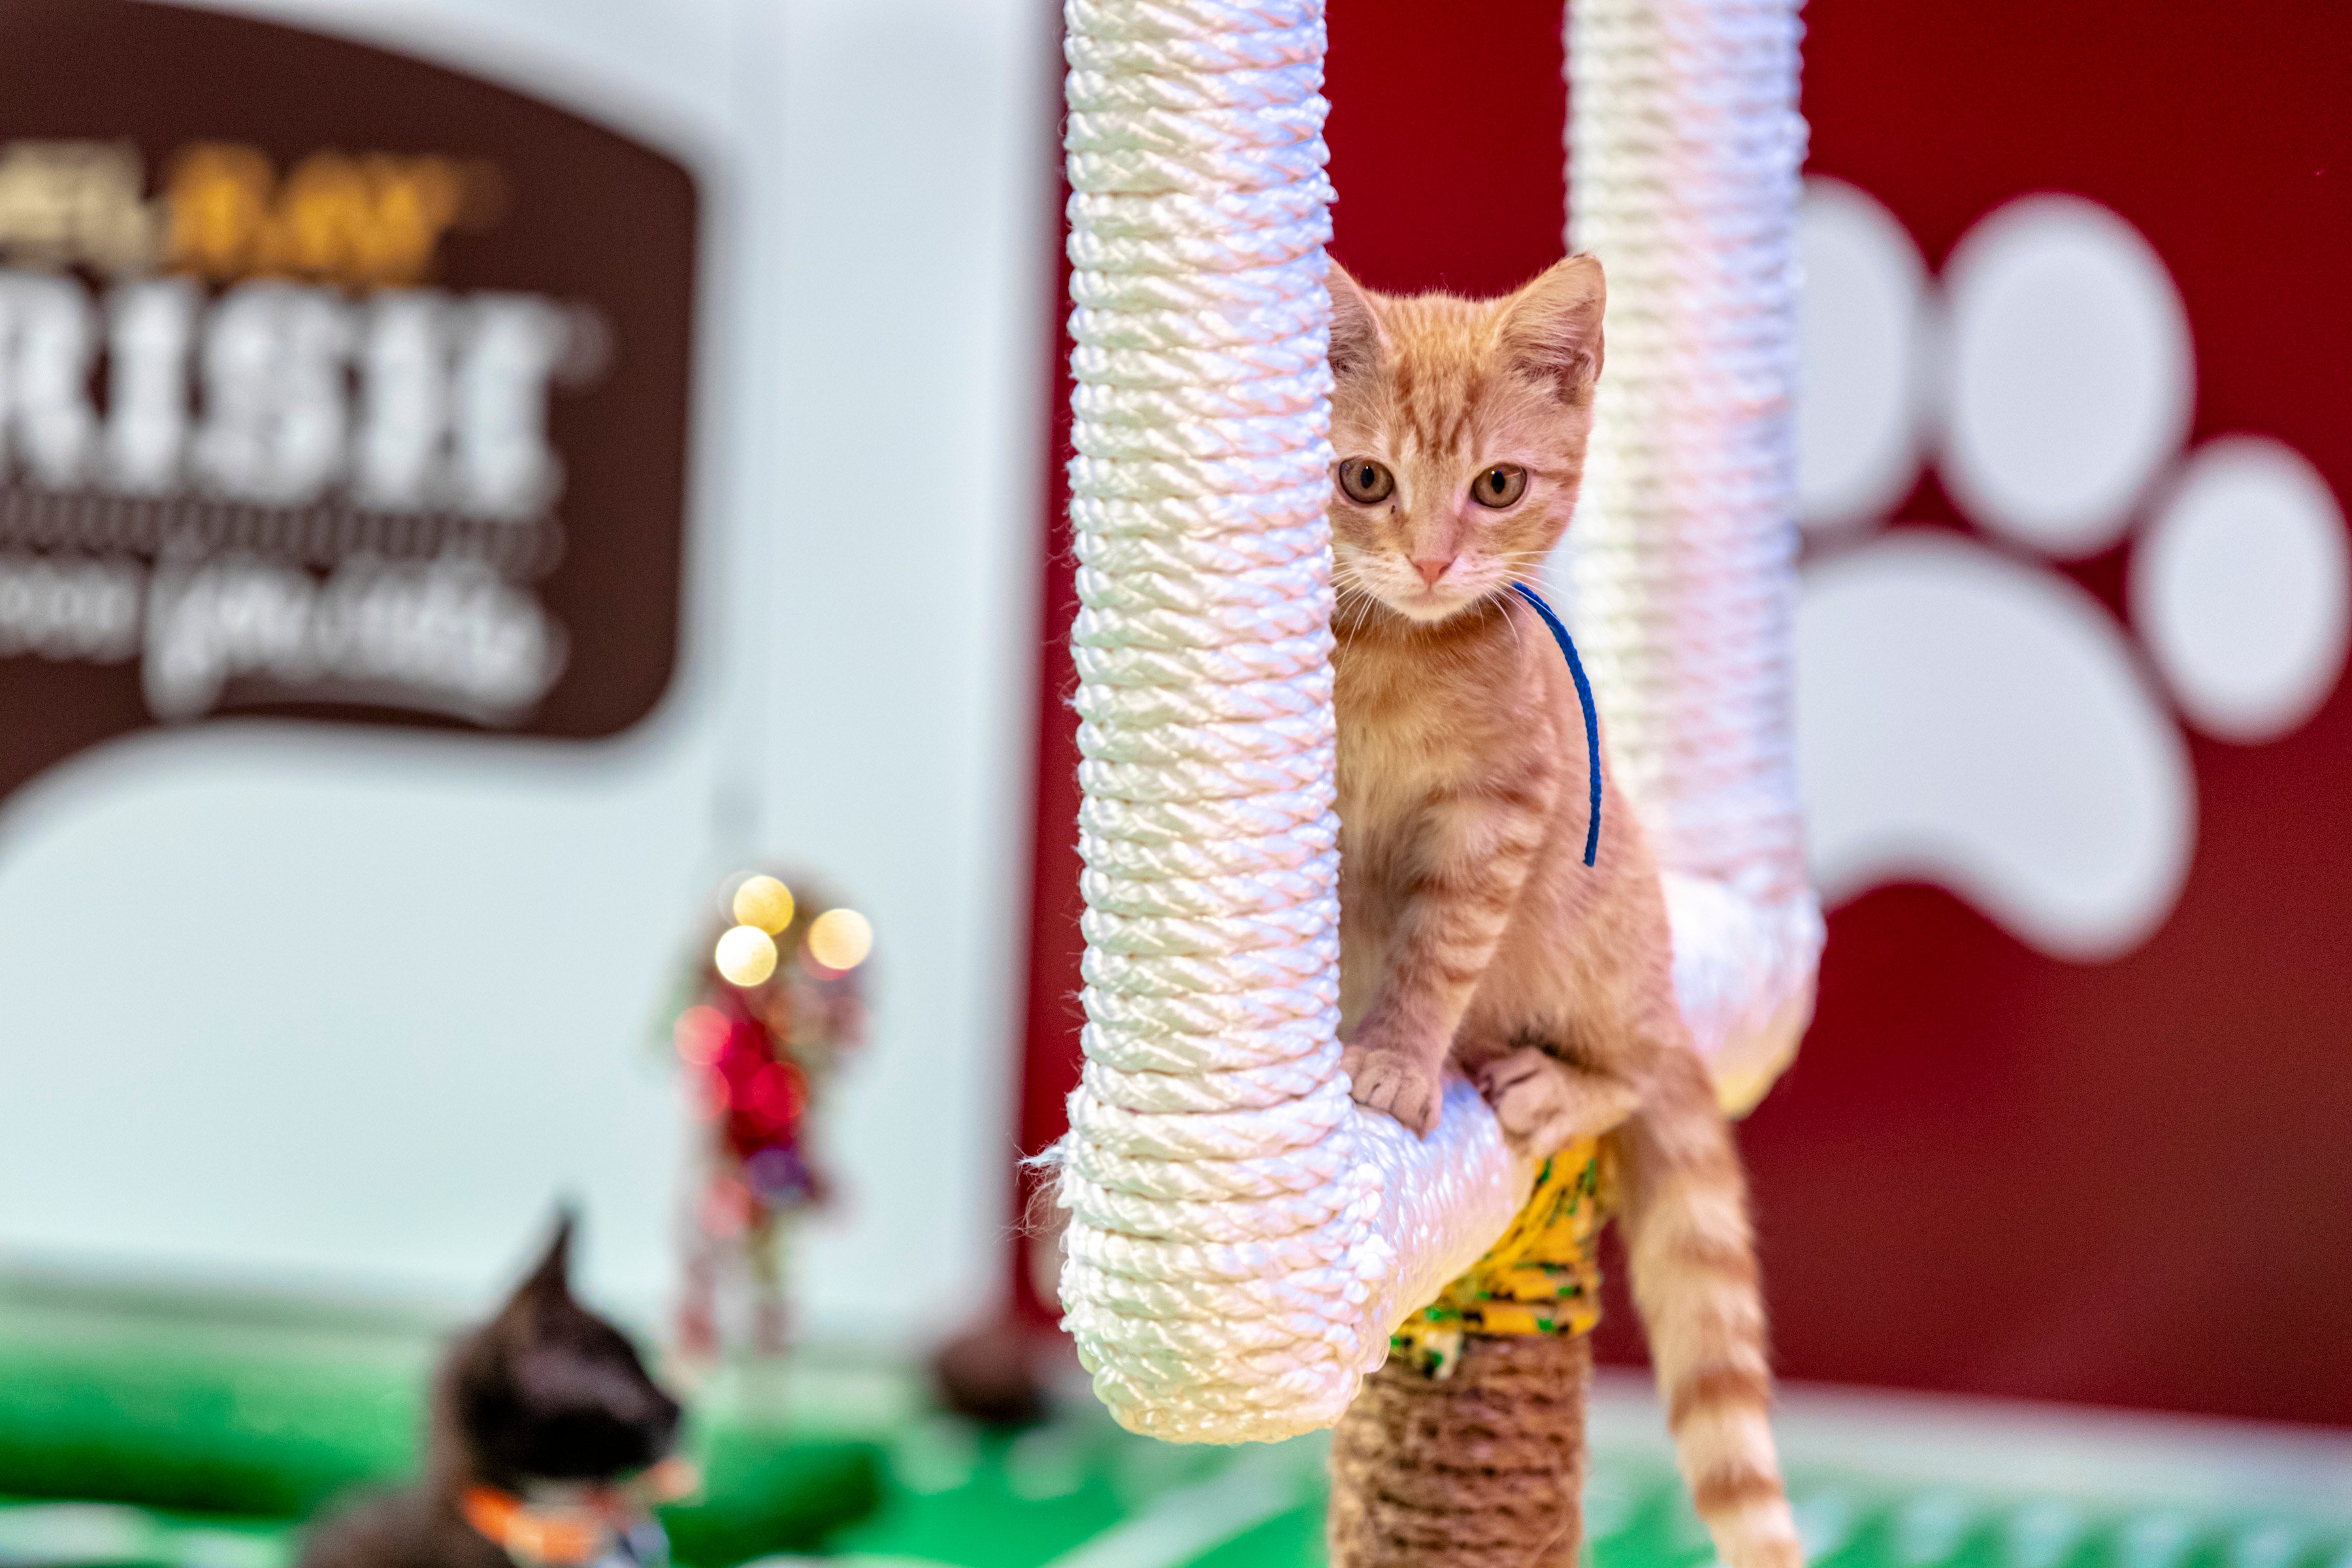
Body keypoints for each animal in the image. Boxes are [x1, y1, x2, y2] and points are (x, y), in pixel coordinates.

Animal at [1326, 257, 1797, 1568]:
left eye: (1498, 487)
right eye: (1366, 480)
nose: (1434, 562)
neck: (1392, 654)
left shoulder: (1502, 813)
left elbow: (1434, 954)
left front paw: (1393, 1063)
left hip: (1605, 959)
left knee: (1635, 1074)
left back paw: (1549, 1084)